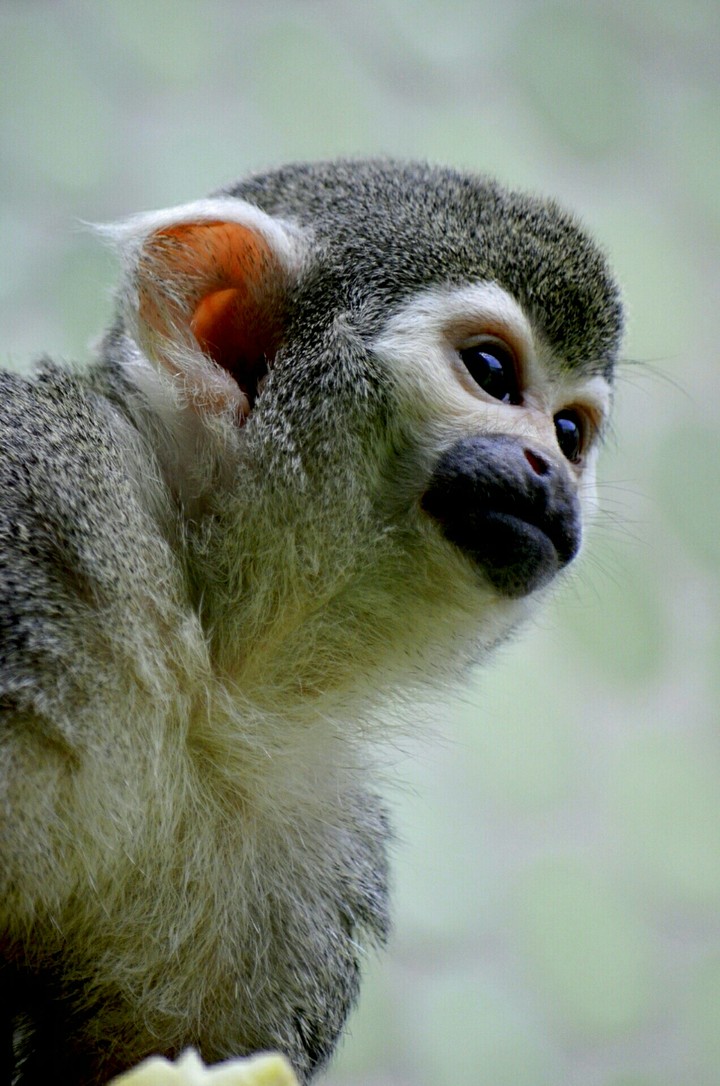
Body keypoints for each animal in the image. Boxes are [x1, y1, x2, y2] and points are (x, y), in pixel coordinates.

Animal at [0, 160, 623, 1085]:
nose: (551, 471)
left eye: (572, 431)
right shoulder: (47, 508)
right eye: (490, 370)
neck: (210, 655)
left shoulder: (313, 850)